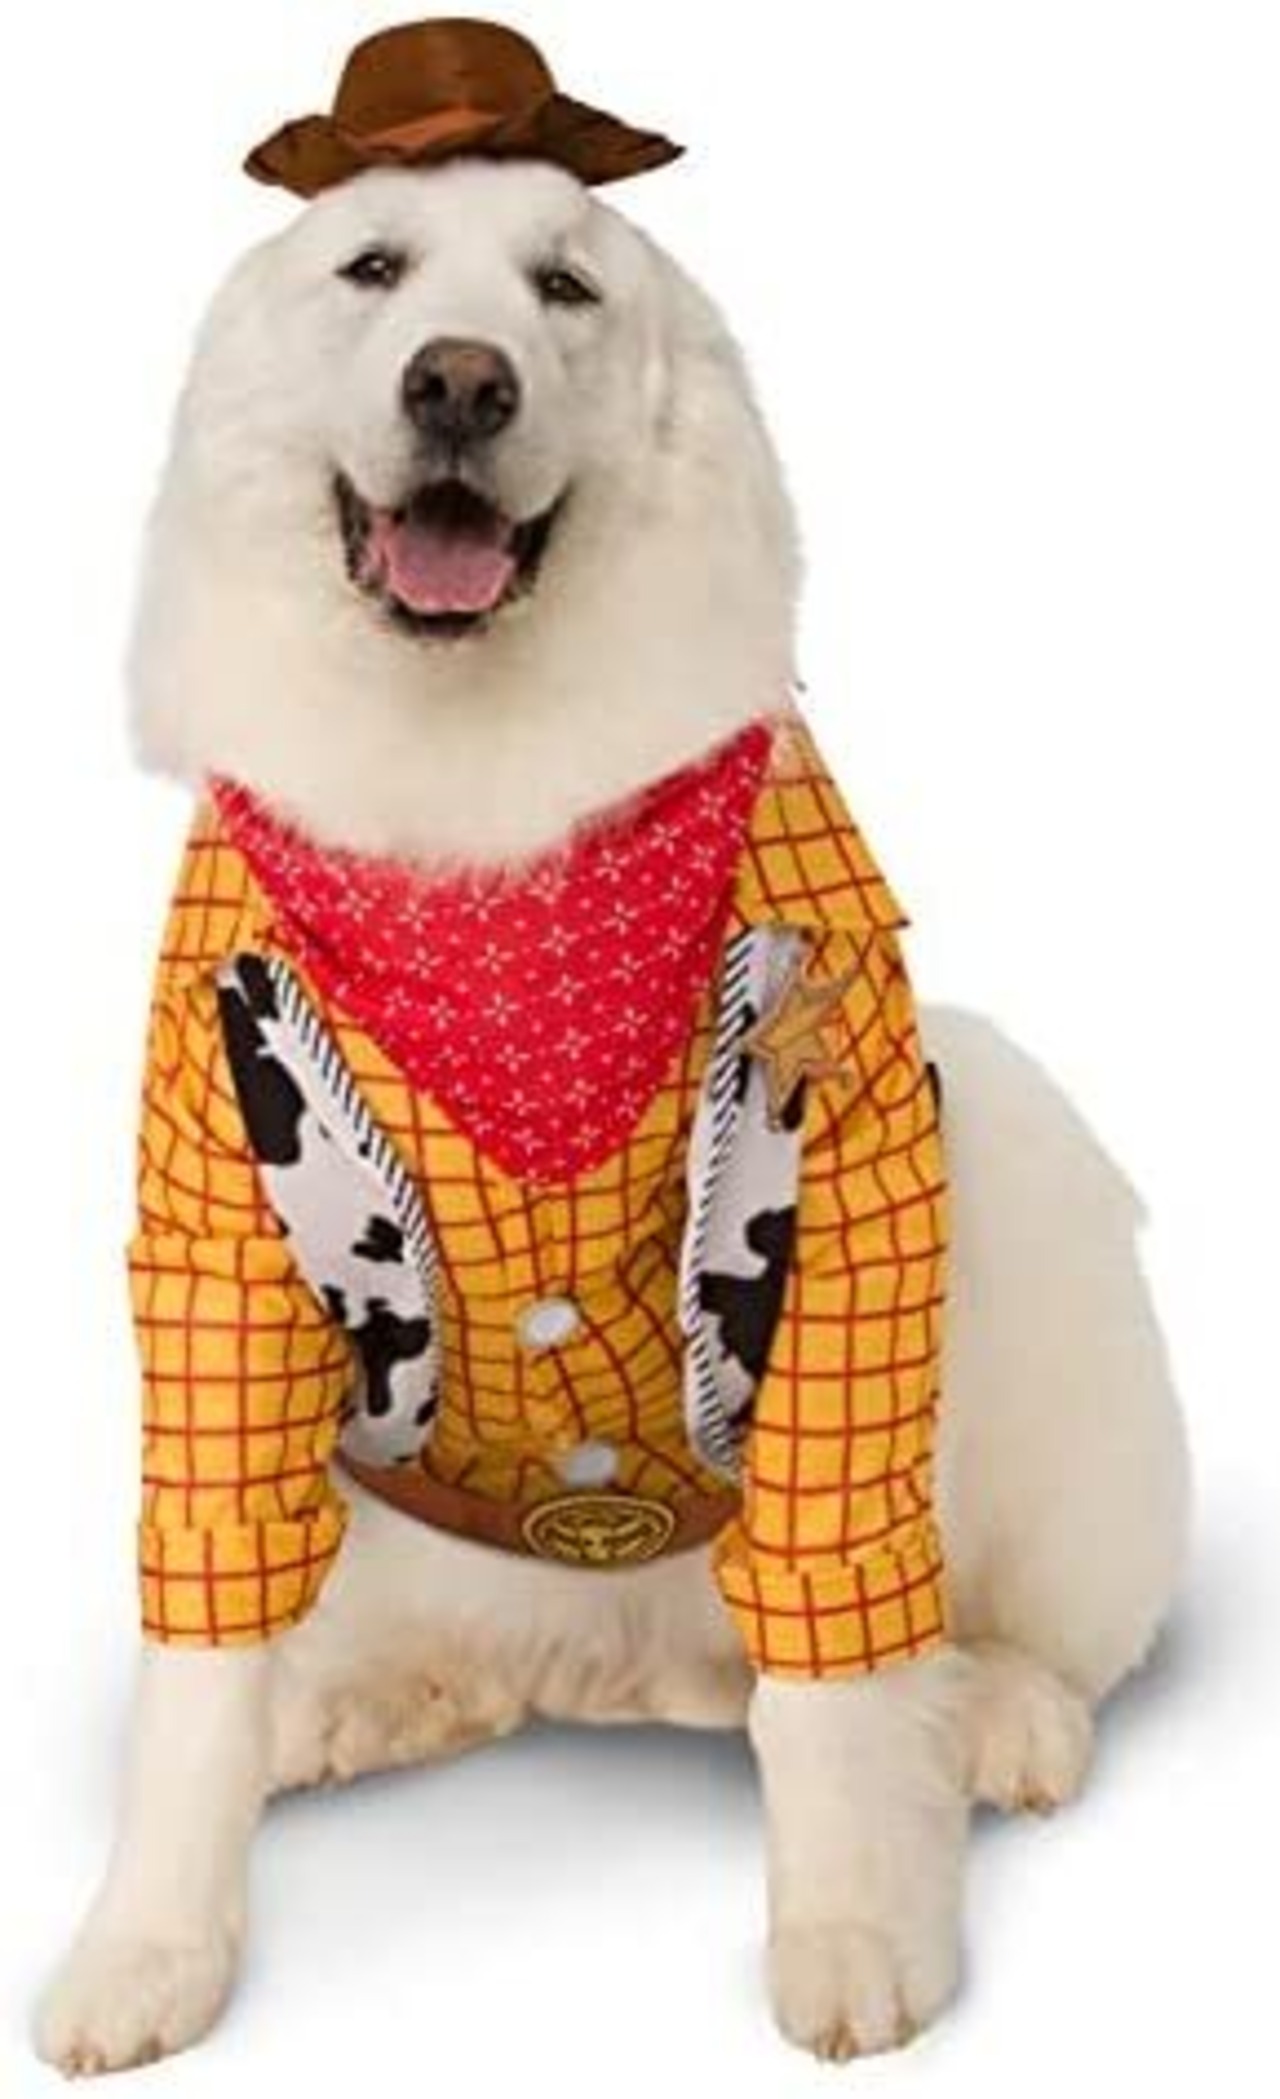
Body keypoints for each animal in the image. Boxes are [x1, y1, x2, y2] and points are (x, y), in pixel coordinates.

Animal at [35, 64, 1189, 2075]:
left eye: (564, 291)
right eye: (375, 268)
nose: (461, 383)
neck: (477, 810)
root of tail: (620, 1659)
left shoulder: (839, 1197)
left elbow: (833, 1678)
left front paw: (855, 1919)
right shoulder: (217, 1239)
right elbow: (196, 1654)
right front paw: (150, 1943)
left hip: (1018, 1156)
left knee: (968, 1641)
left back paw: (992, 1713)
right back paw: (359, 1695)